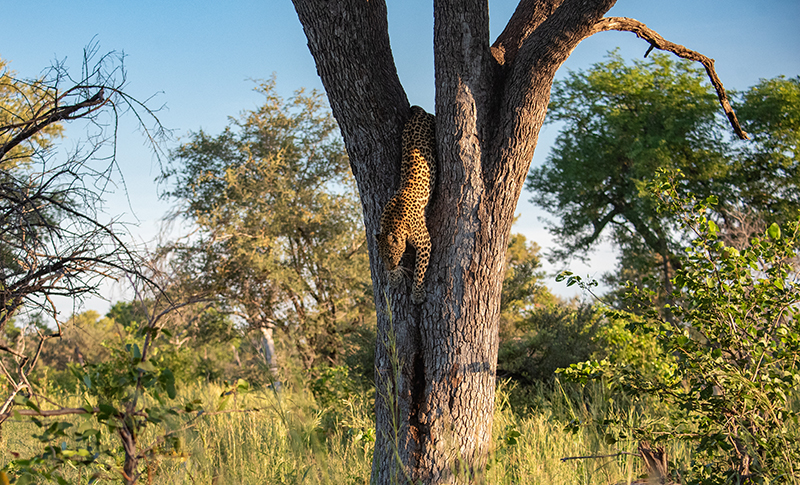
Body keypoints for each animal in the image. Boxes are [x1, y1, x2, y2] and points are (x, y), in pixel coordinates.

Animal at [376, 105, 437, 304]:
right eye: (382, 257)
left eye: (389, 256)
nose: (388, 269)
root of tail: (419, 114)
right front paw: (394, 278)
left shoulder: (425, 242)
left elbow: (420, 270)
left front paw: (417, 294)